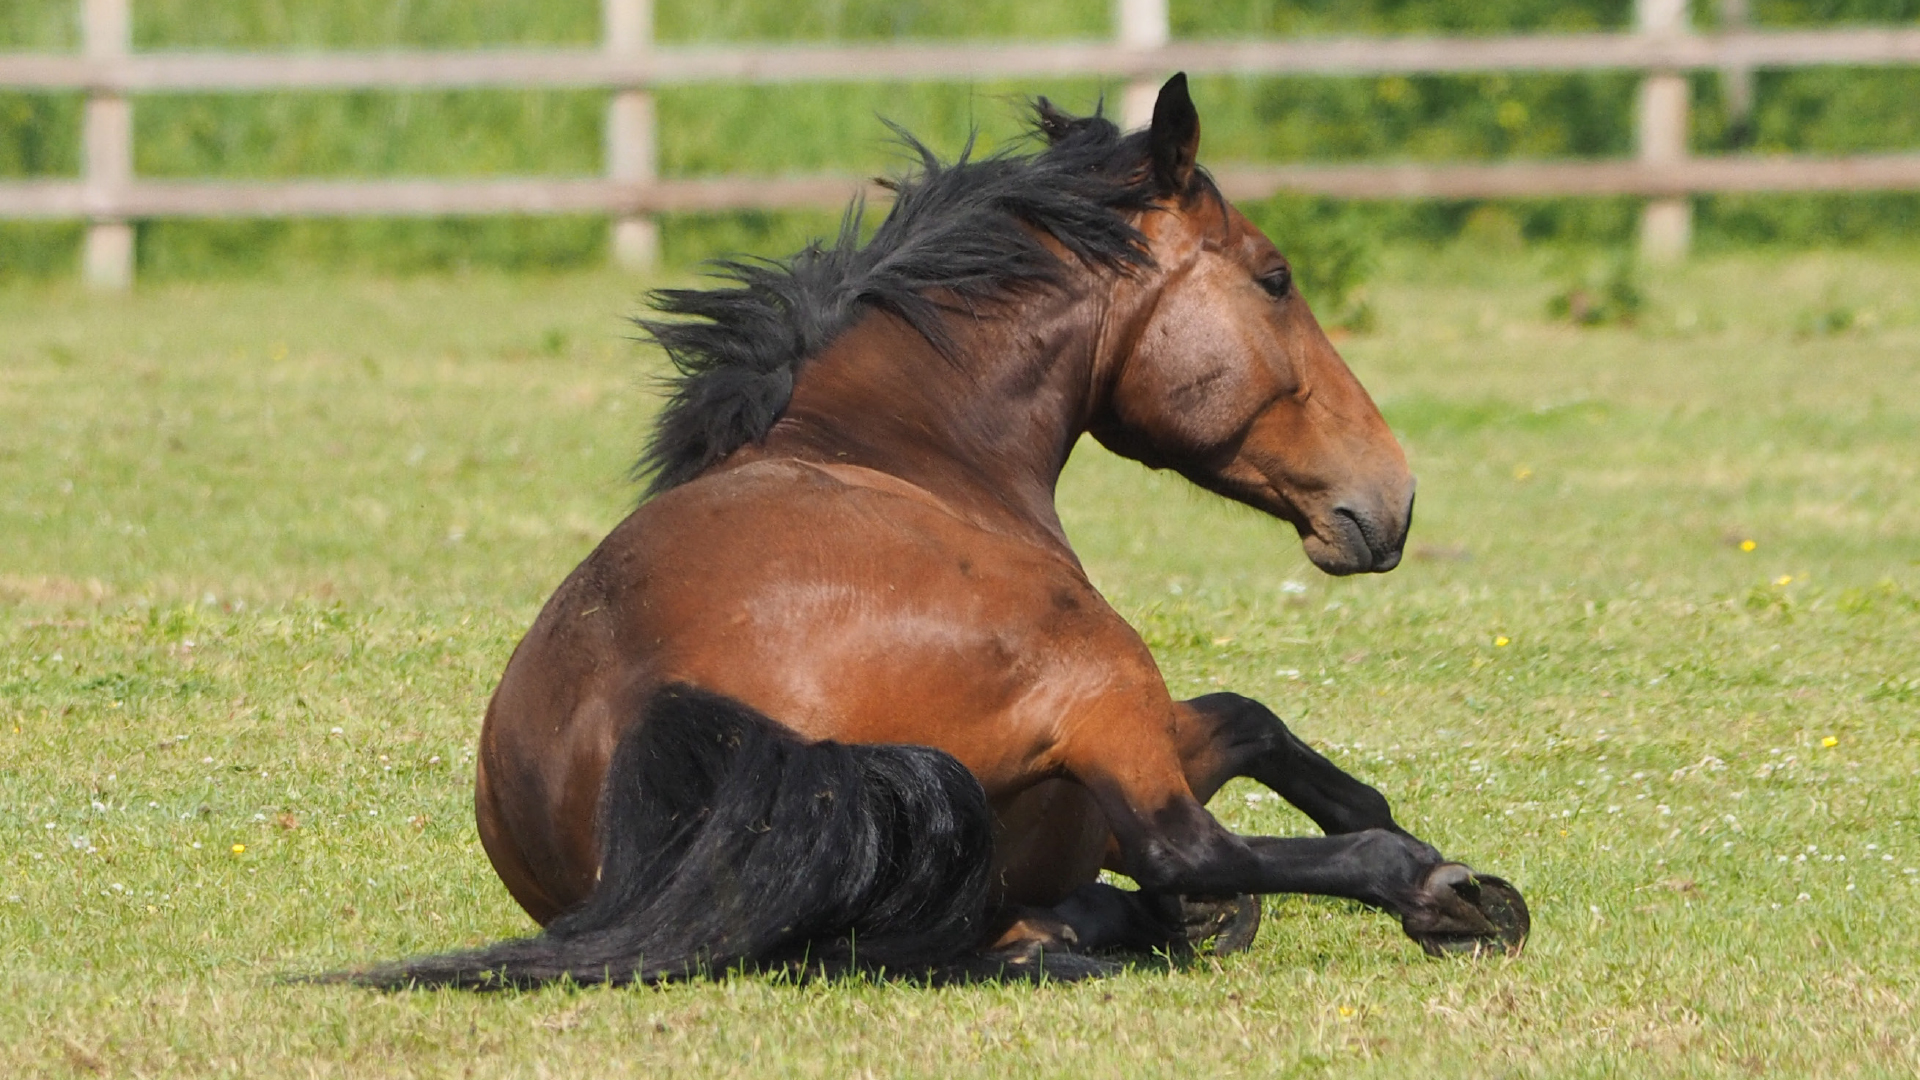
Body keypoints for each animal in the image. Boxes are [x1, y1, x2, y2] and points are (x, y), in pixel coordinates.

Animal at [343, 74, 1528, 989]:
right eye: (1275, 278)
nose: (1391, 497)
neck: (901, 443)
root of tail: (669, 710)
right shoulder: (1117, 731)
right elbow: (1252, 733)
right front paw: (1414, 858)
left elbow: (1251, 730)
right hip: (1103, 686)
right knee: (1180, 848)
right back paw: (1442, 895)